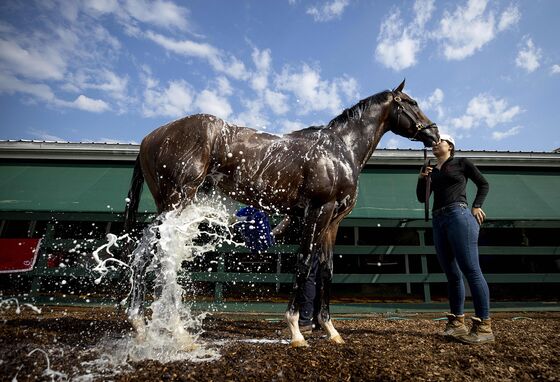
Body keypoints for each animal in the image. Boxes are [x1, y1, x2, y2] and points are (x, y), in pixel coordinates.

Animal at [124, 80, 440, 346]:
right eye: (411, 102)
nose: (434, 133)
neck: (339, 150)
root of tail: (150, 137)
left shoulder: (333, 221)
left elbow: (326, 268)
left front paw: (331, 329)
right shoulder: (317, 211)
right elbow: (304, 263)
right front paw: (296, 329)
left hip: (169, 208)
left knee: (143, 255)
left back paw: (141, 327)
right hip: (177, 203)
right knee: (163, 256)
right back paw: (178, 333)